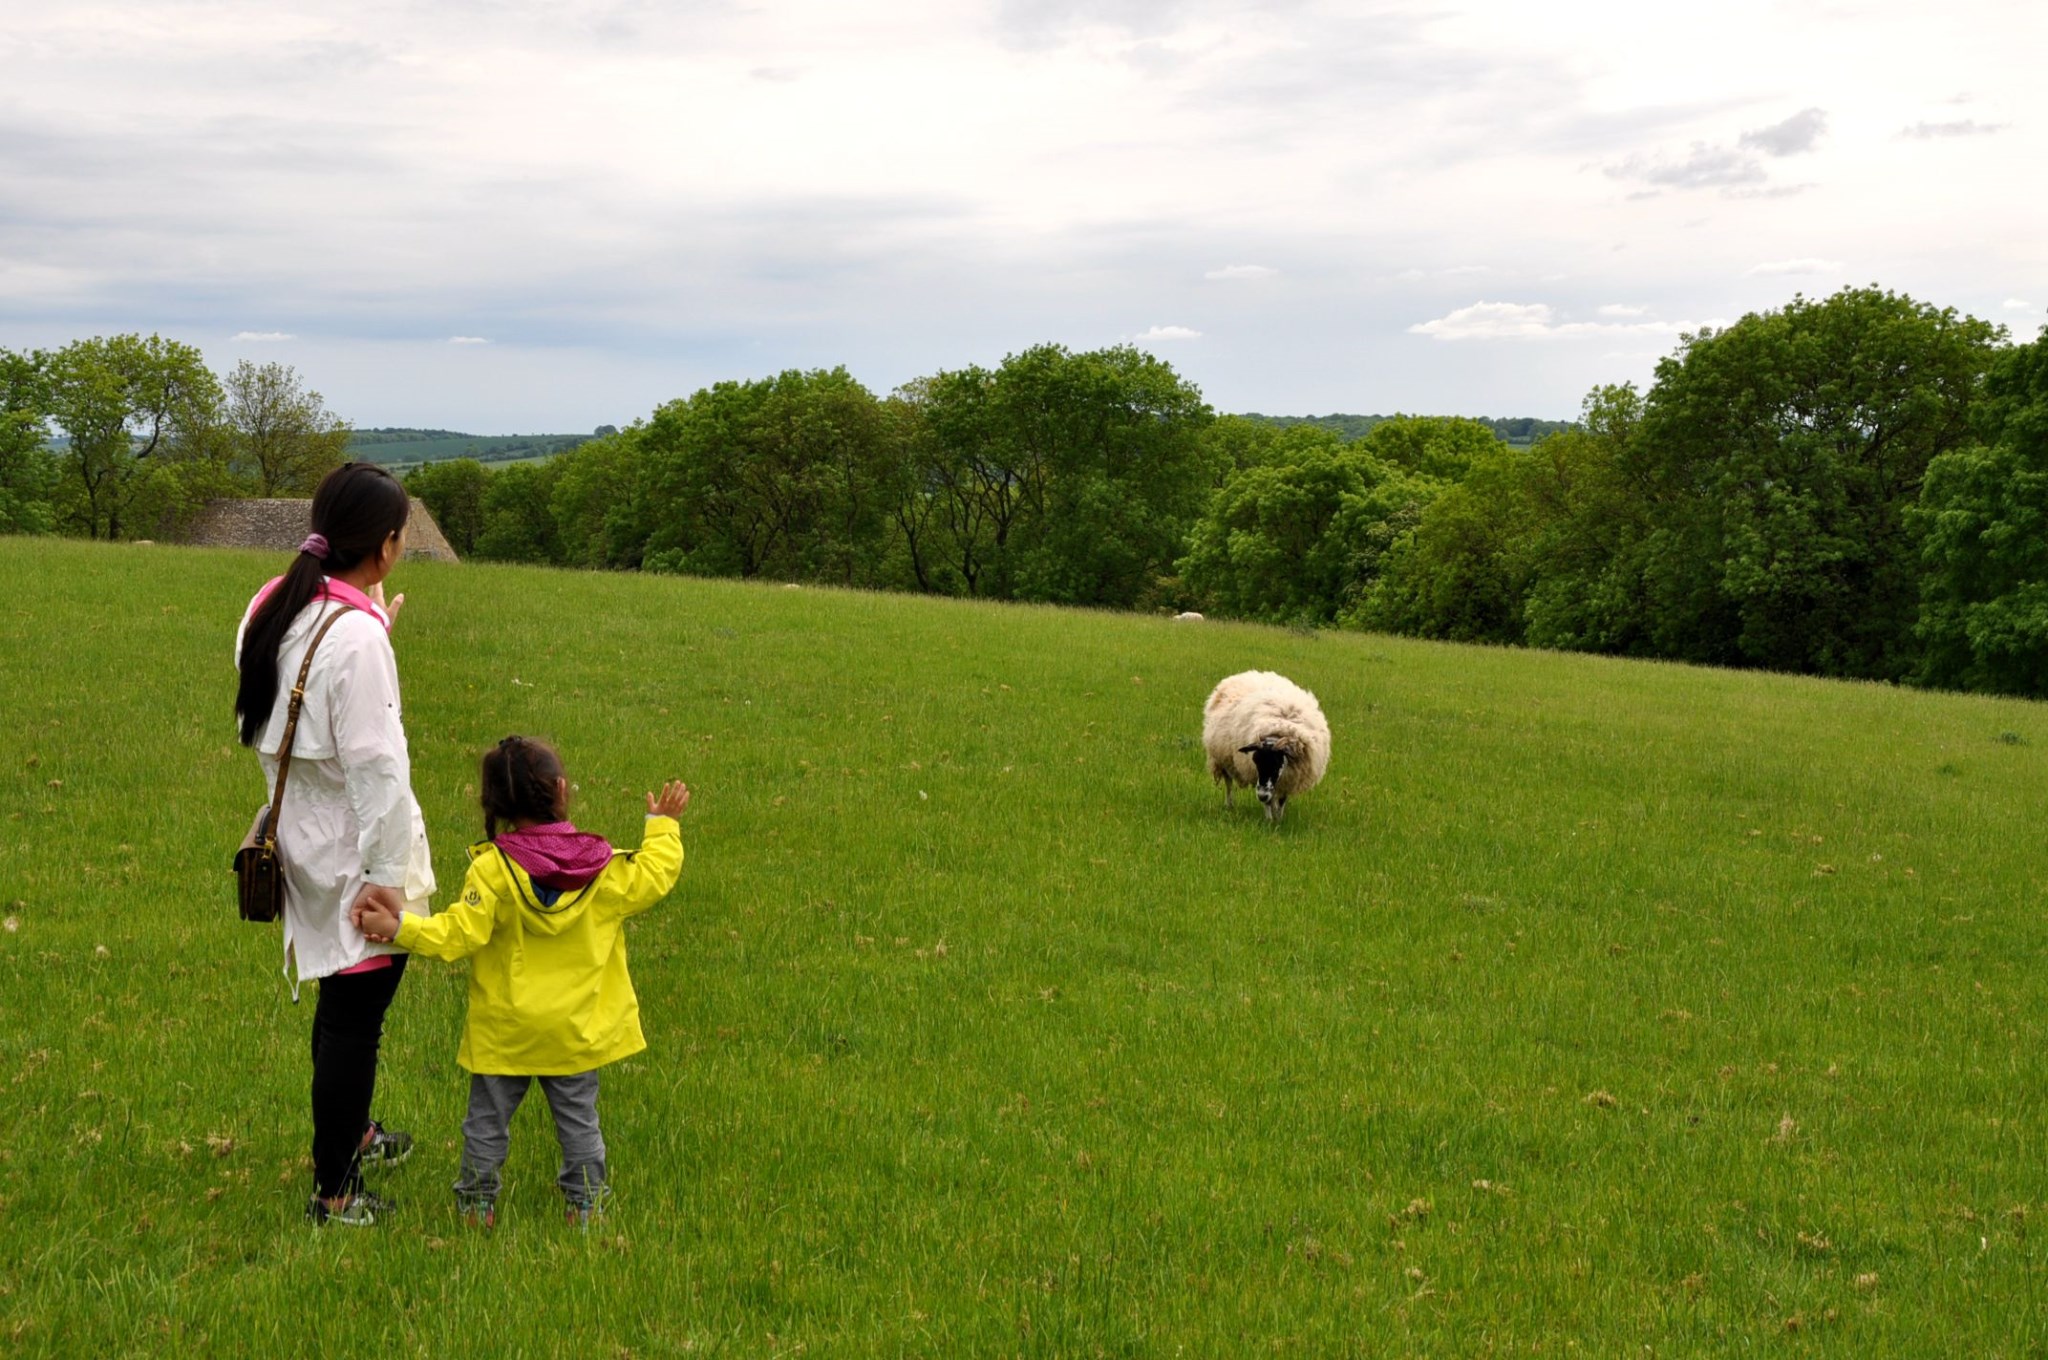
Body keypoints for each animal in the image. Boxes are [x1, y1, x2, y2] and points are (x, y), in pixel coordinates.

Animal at [1196, 667, 1327, 823]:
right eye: (1256, 761)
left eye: (1276, 763)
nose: (1262, 795)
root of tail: (1244, 674)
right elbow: (1269, 802)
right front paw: (1269, 821)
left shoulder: (1289, 778)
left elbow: (1281, 800)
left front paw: (1279, 819)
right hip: (1223, 759)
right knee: (1229, 784)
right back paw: (1229, 805)